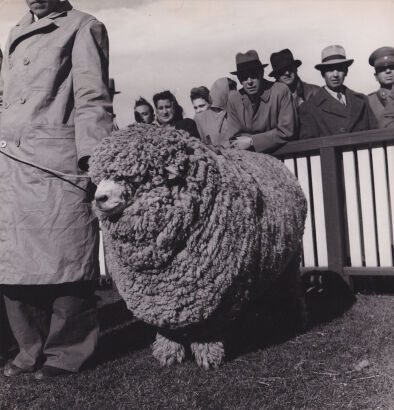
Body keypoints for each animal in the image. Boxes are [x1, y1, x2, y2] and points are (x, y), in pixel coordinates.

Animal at [90, 123, 308, 370]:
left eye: (138, 176)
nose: (99, 198)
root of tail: (274, 161)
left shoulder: (217, 292)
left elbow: (207, 327)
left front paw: (208, 355)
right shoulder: (158, 295)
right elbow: (166, 326)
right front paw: (168, 352)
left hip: (291, 259)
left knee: (291, 287)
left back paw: (295, 318)